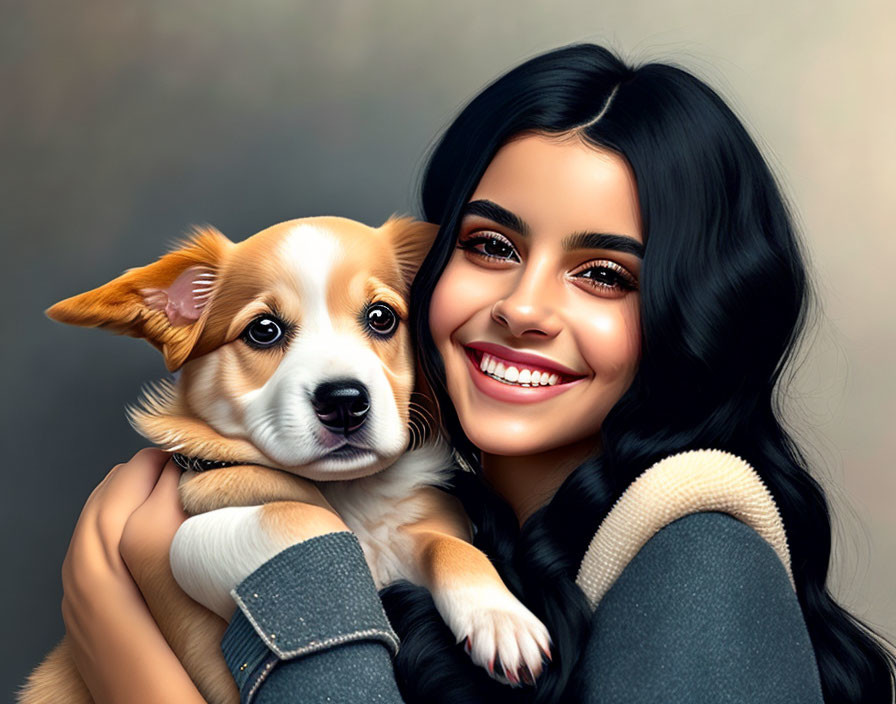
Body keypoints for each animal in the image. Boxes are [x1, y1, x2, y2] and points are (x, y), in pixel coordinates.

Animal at [21, 216, 548, 704]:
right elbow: (284, 515)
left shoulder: (416, 535)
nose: (344, 402)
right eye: (264, 330)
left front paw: (500, 616)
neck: (347, 495)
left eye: (381, 317)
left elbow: (449, 546)